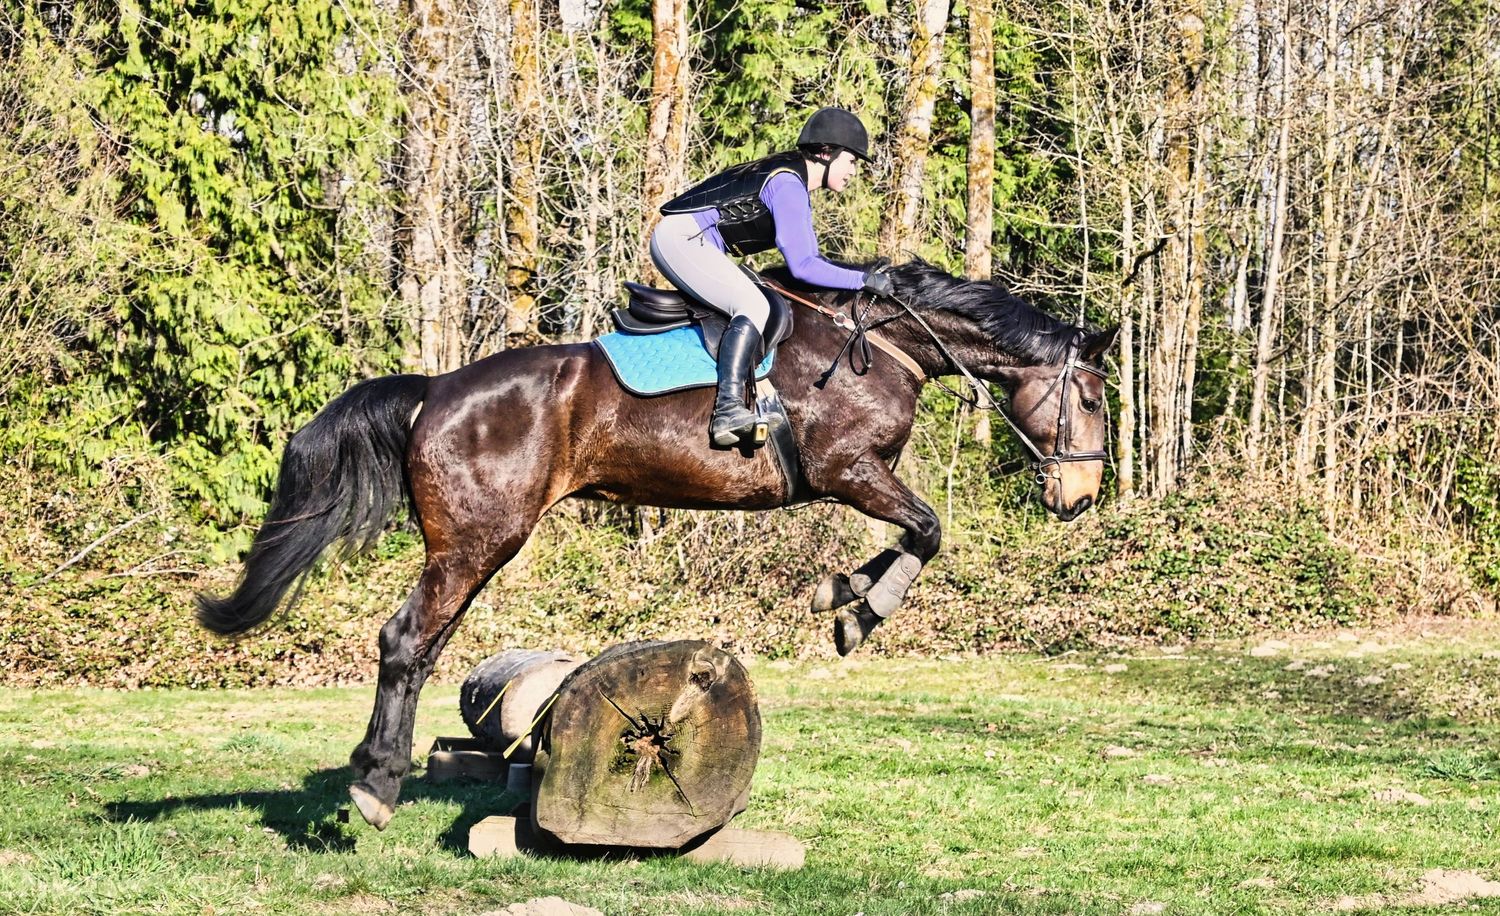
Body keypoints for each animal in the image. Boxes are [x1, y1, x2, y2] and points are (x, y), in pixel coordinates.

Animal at [197, 259, 1117, 830]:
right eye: (1093, 401)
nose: (1079, 499)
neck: (884, 343)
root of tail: (436, 390)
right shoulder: (847, 469)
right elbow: (927, 528)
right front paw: (859, 609)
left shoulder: (858, 478)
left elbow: (915, 534)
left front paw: (843, 596)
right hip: (479, 540)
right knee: (405, 641)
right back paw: (376, 786)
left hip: (472, 544)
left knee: (419, 646)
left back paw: (374, 776)